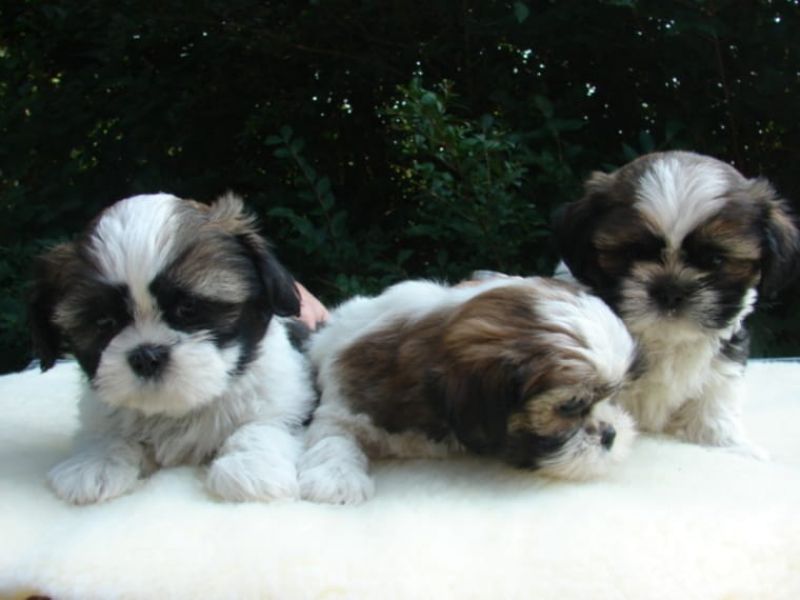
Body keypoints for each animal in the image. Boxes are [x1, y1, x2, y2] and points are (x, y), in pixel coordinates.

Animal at [28, 192, 316, 504]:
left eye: (189, 308)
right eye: (104, 321)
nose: (146, 356)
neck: (178, 409)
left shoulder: (284, 397)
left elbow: (264, 424)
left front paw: (250, 467)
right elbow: (105, 432)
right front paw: (96, 462)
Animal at [298, 277, 638, 504]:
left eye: (612, 397)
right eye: (570, 406)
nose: (610, 434)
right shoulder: (348, 399)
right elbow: (333, 435)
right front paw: (336, 478)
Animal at [554, 150, 799, 457]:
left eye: (715, 260)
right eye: (632, 253)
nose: (670, 290)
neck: (663, 339)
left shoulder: (719, 368)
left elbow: (714, 406)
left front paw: (731, 445)